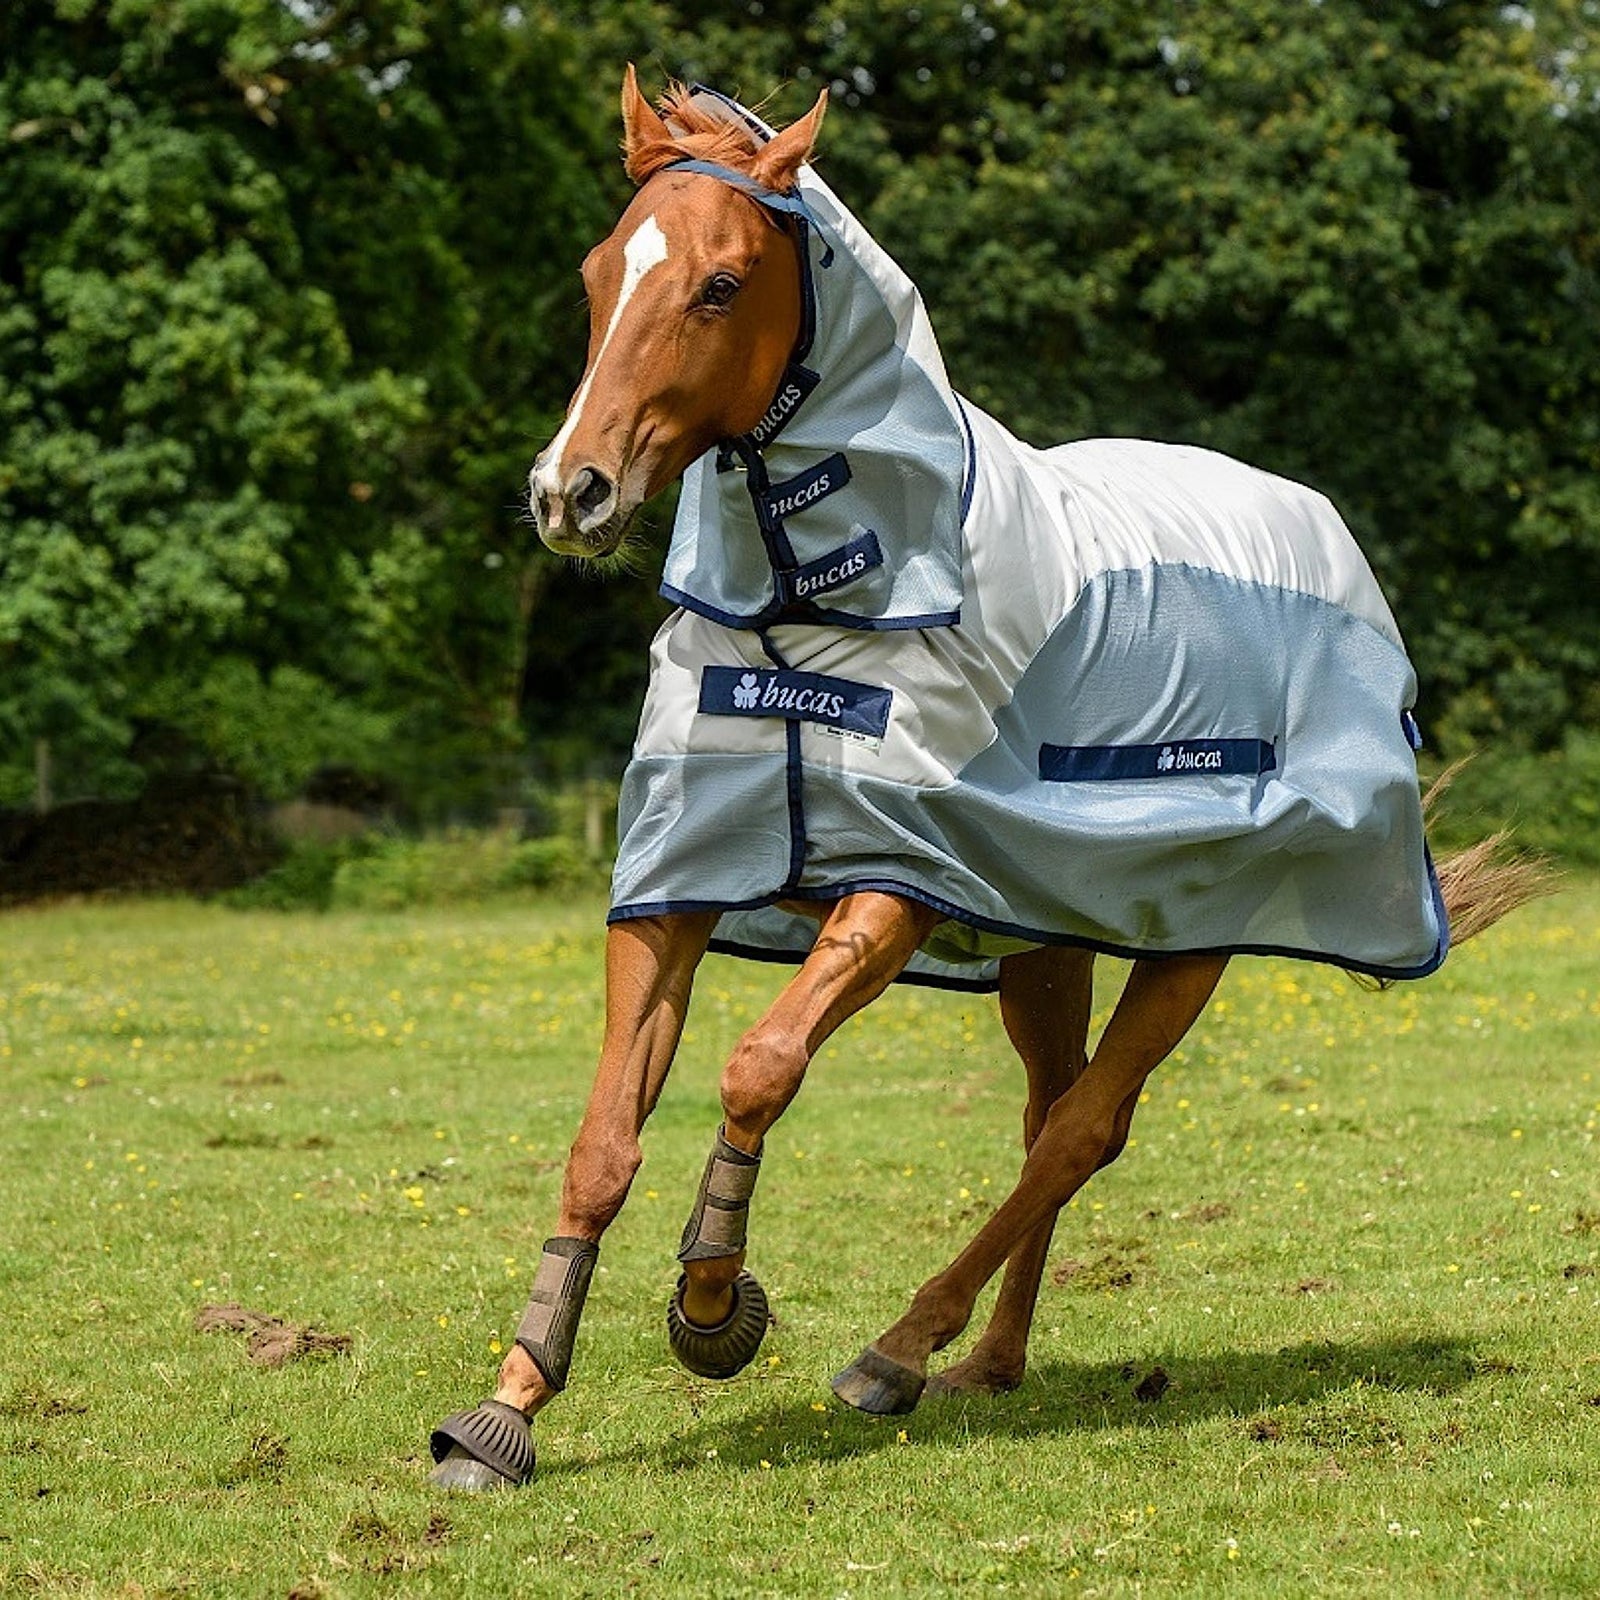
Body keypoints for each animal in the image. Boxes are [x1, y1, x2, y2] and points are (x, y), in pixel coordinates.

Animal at [427, 67, 1541, 1490]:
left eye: (721, 284)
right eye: (594, 277)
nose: (570, 491)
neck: (810, 600)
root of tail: (1323, 537)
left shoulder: (898, 882)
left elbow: (757, 1068)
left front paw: (714, 1305)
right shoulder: (679, 880)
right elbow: (601, 1143)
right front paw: (508, 1404)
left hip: (1191, 941)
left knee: (1081, 1130)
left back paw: (898, 1349)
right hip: (1041, 933)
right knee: (1046, 1117)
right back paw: (988, 1361)